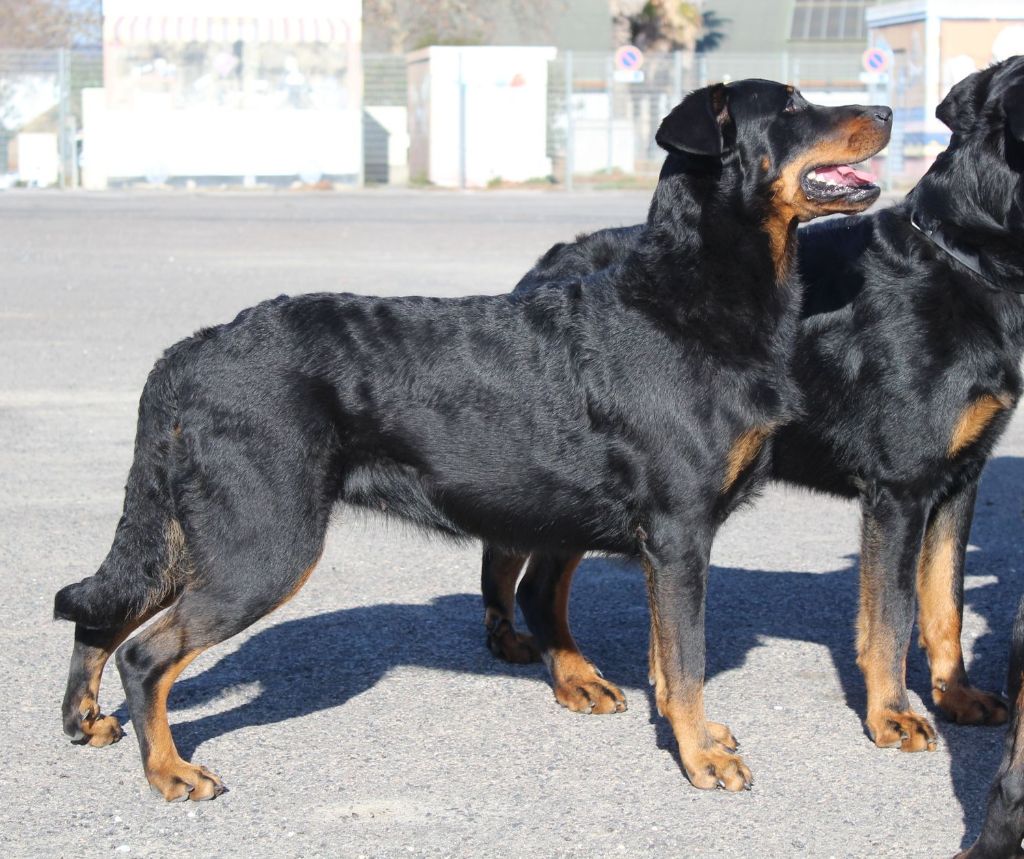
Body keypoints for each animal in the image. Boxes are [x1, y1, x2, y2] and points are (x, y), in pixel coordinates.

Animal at [54, 80, 888, 798]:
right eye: (792, 106)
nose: (883, 109)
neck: (690, 298)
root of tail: (190, 350)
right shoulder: (680, 535)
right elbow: (685, 662)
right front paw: (700, 758)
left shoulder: (666, 544)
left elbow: (666, 659)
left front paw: (699, 738)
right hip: (262, 543)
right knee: (146, 652)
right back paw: (169, 770)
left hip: (195, 529)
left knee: (103, 611)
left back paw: (84, 719)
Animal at [483, 58, 1024, 774]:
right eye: (791, 107)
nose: (885, 111)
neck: (965, 260)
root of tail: (548, 260)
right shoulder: (901, 487)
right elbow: (892, 616)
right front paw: (892, 716)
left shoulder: (960, 478)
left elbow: (946, 605)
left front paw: (955, 695)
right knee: (529, 576)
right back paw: (565, 671)